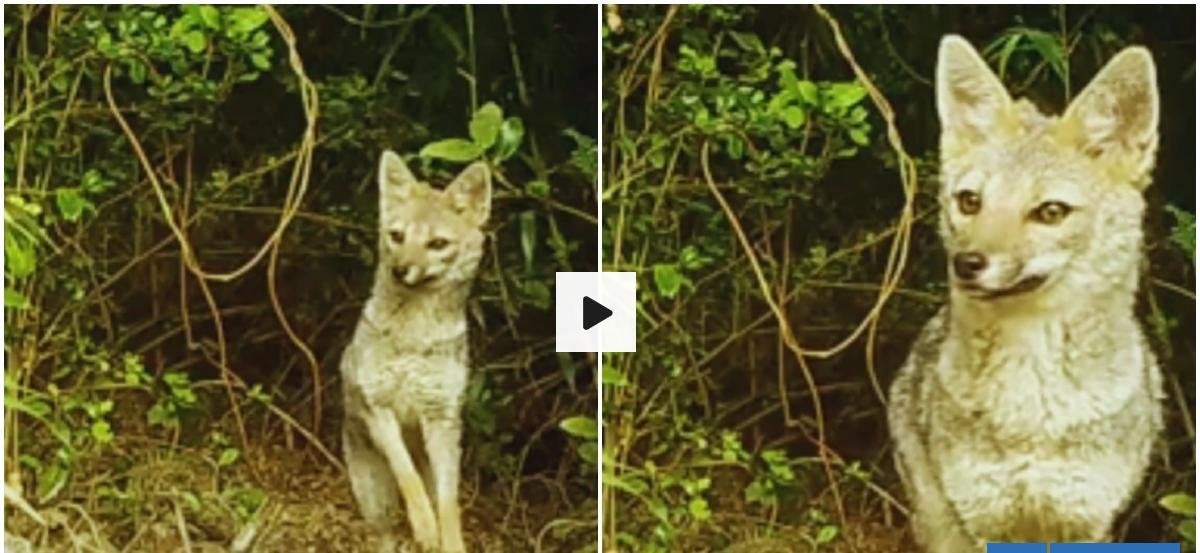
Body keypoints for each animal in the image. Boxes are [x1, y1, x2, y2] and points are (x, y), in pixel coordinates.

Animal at [340, 151, 491, 552]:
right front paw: (424, 525)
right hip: (376, 506)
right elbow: (408, 476)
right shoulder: (379, 408)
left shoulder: (442, 418)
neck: (413, 338)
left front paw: (449, 540)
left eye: (437, 243)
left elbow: (448, 501)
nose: (400, 269)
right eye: (397, 236)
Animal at [888, 35, 1164, 551]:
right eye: (969, 202)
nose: (967, 264)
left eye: (1051, 212)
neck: (1033, 414)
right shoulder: (985, 519)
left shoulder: (1083, 519)